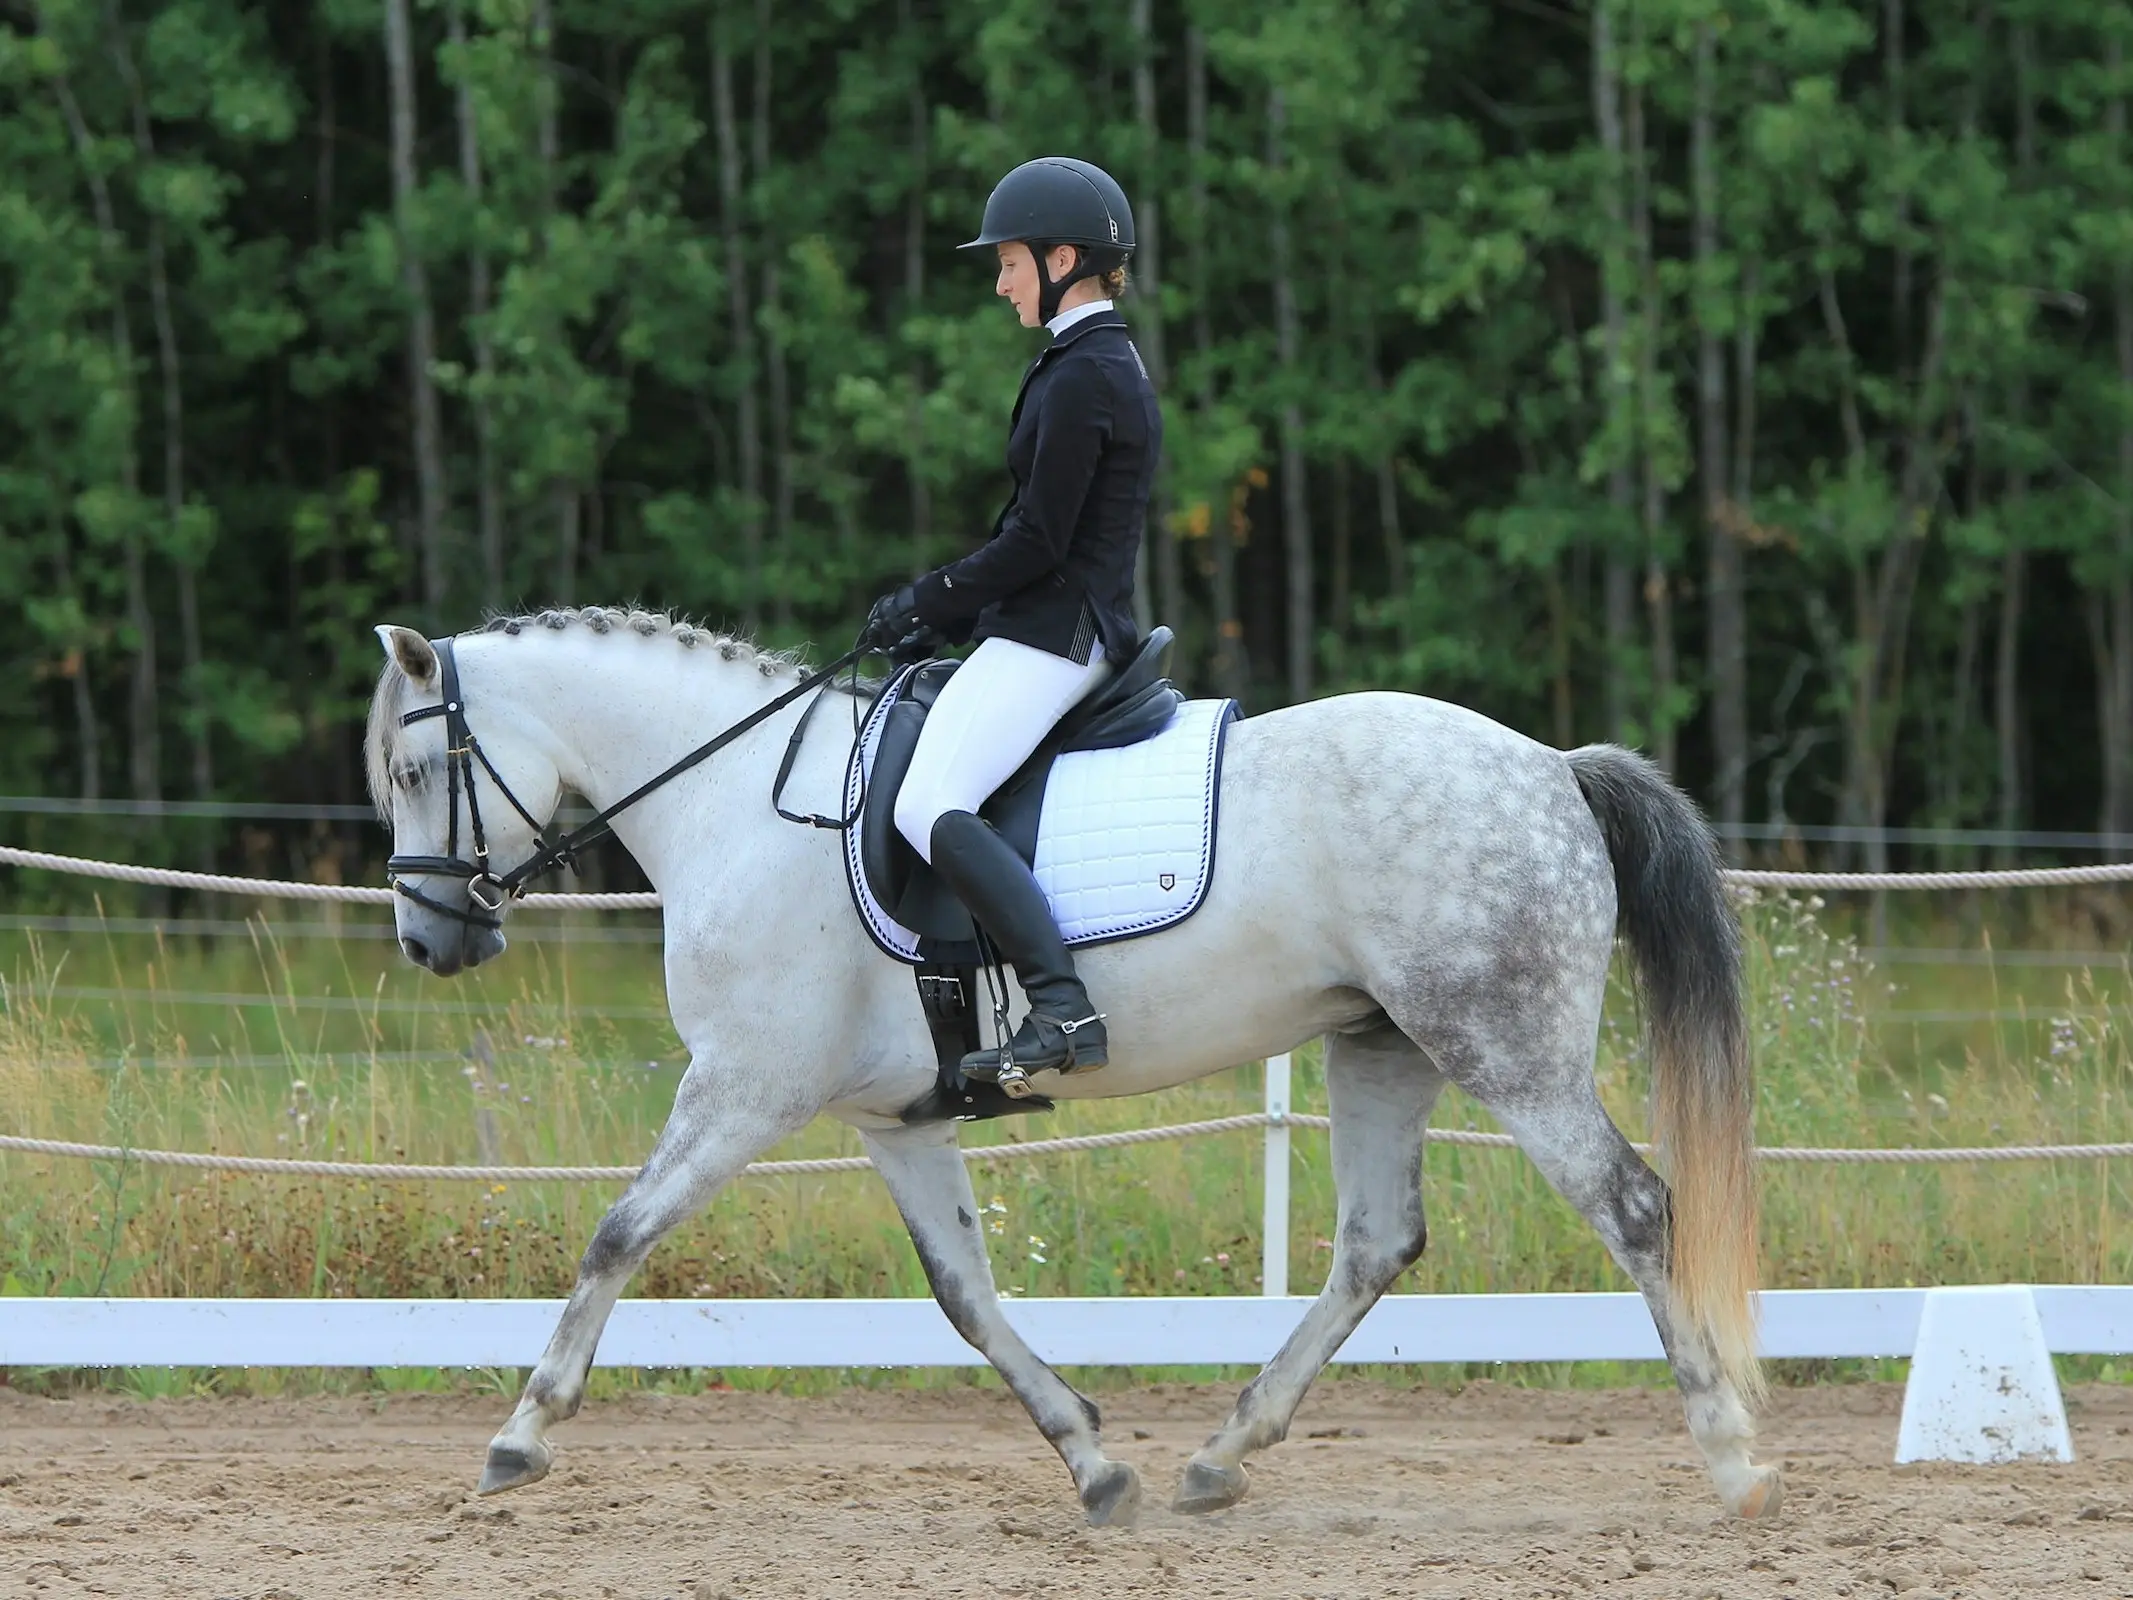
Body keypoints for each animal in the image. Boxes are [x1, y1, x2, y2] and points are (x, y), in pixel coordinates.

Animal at [365, 605, 1780, 1528]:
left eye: (417, 767)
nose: (432, 939)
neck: (737, 803)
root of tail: (1553, 766)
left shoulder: (742, 1090)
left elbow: (617, 1231)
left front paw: (518, 1437)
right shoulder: (897, 1119)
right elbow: (965, 1297)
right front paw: (1095, 1465)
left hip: (1503, 1043)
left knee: (1633, 1207)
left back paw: (1733, 1459)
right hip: (1382, 1042)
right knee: (1377, 1244)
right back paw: (1220, 1457)